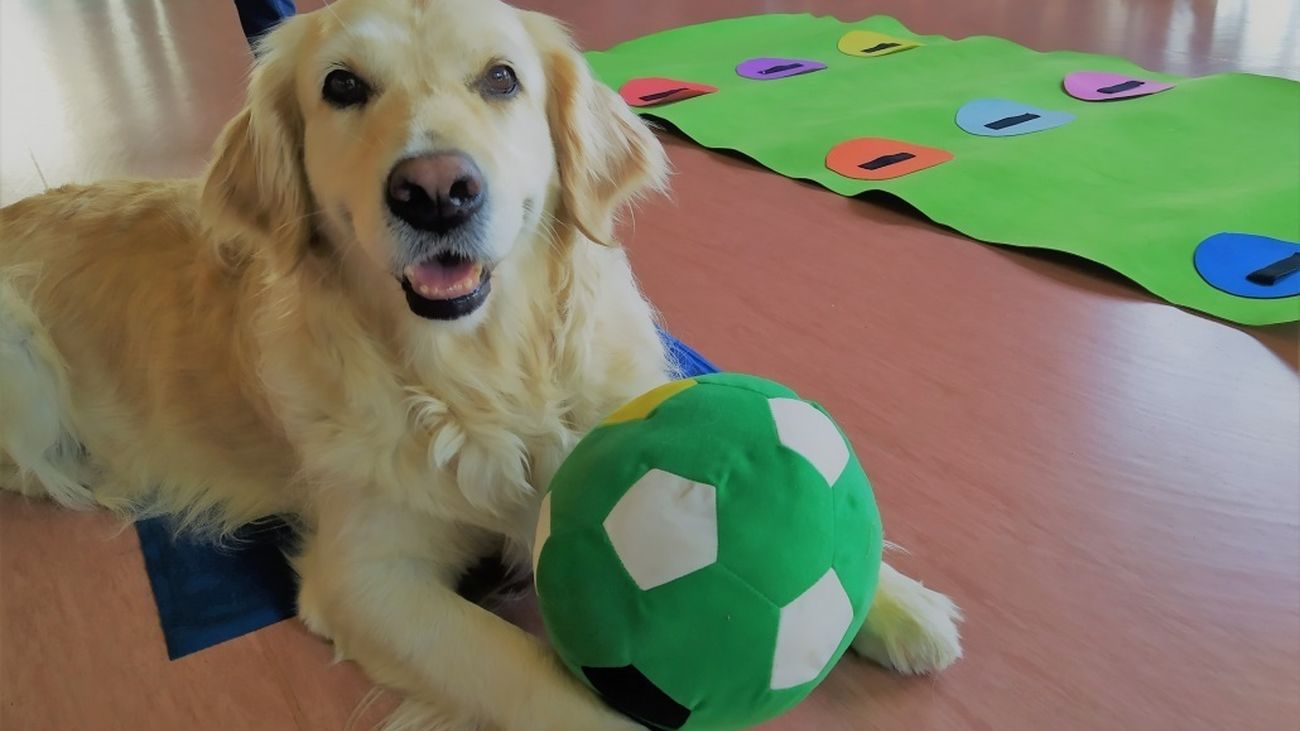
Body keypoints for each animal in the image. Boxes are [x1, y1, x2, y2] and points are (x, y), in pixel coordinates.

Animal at [0, 2, 956, 723]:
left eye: (501, 78)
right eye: (342, 85)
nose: (435, 192)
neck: (484, 367)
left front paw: (898, 599)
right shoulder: (368, 579)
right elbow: (532, 677)